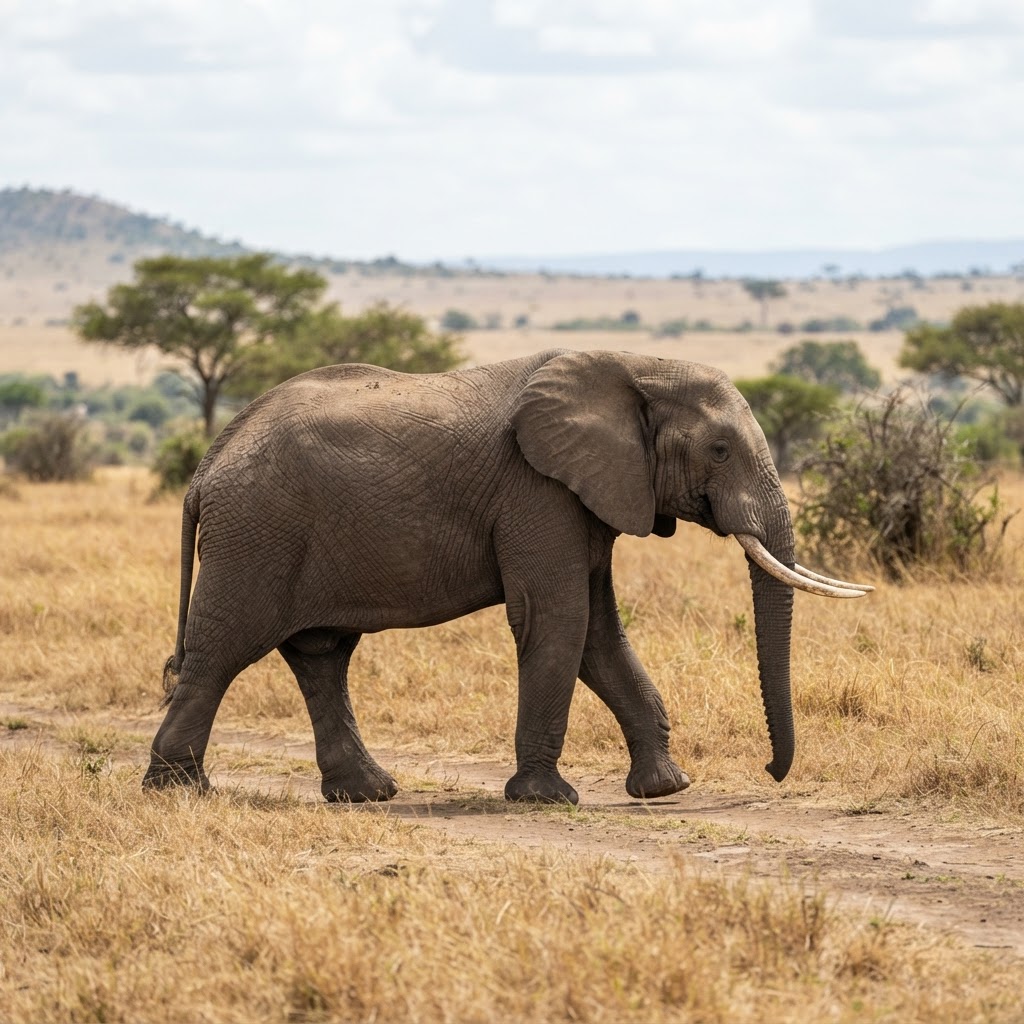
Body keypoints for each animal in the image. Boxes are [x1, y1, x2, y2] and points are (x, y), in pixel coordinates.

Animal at [143, 349, 870, 805]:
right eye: (719, 450)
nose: (771, 771)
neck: (636, 366)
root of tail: (206, 468)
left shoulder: (587, 496)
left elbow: (600, 634)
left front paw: (667, 789)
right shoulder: (537, 492)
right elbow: (559, 620)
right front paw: (548, 799)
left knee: (321, 658)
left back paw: (367, 794)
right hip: (255, 537)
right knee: (221, 654)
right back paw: (180, 792)